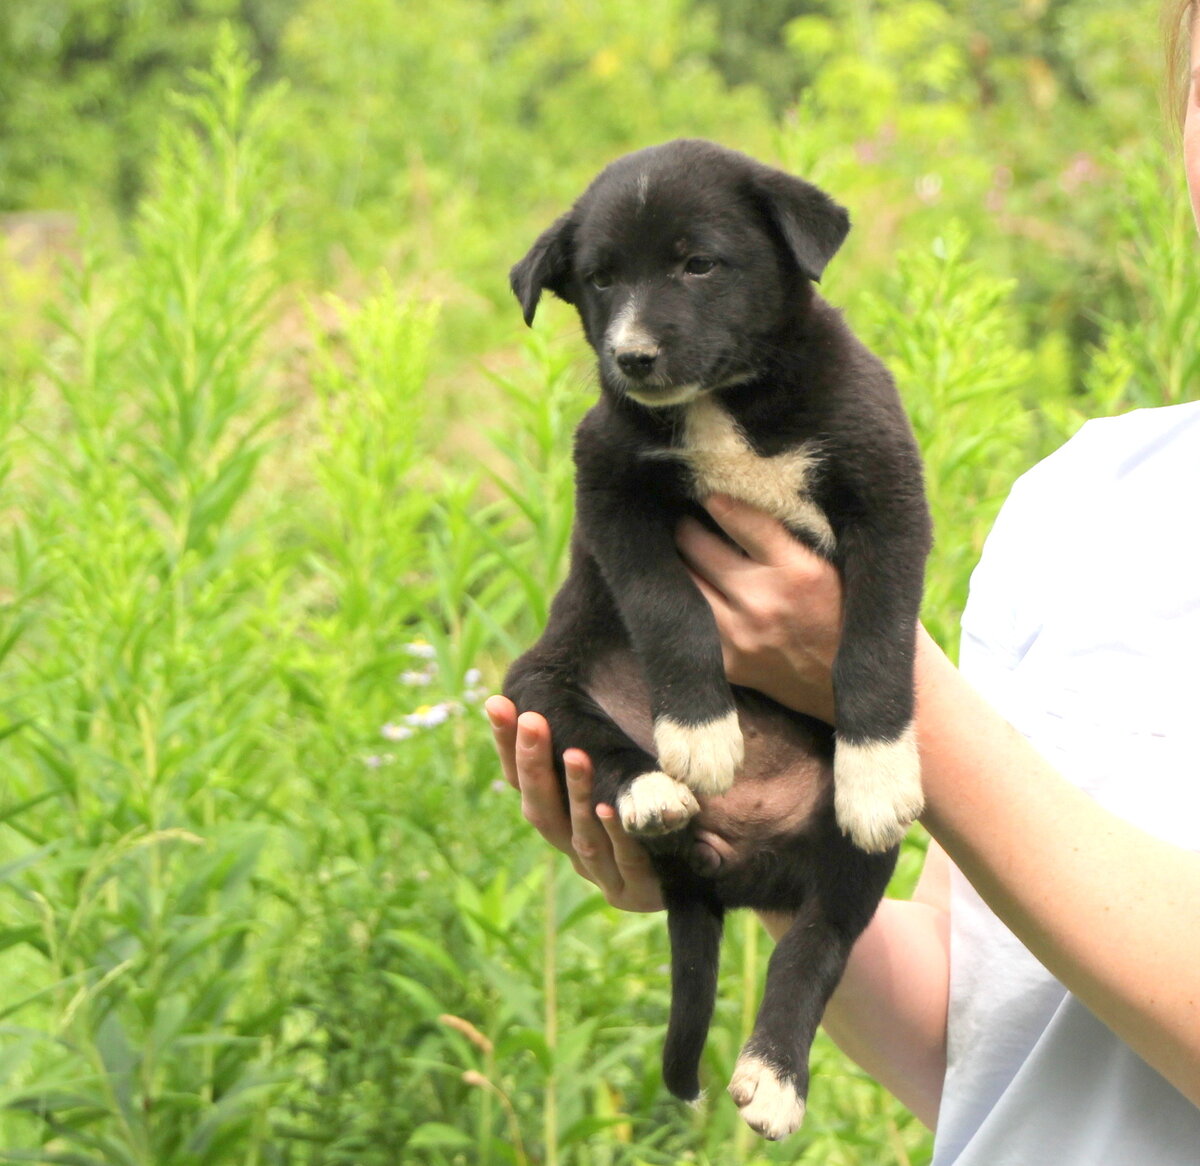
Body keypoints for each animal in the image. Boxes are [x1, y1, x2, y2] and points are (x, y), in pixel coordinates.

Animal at [501, 139, 931, 1137]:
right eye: (599, 280)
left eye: (699, 263)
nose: (632, 356)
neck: (727, 406)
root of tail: (726, 867)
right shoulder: (611, 487)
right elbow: (669, 608)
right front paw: (700, 732)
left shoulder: (888, 499)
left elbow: (876, 644)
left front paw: (877, 769)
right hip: (534, 682)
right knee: (588, 733)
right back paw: (655, 788)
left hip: (854, 864)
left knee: (818, 943)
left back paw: (775, 1075)